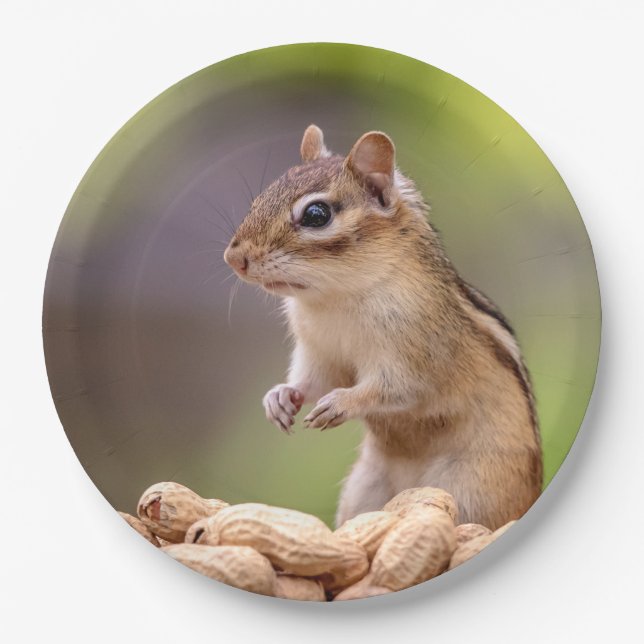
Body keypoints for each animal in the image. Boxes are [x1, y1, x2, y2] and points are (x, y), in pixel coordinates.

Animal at [224, 125, 542, 530]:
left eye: (316, 214)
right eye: (259, 199)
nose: (233, 258)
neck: (336, 298)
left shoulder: (417, 352)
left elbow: (397, 388)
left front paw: (341, 403)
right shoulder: (319, 353)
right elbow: (313, 381)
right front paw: (280, 397)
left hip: (472, 490)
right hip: (364, 489)